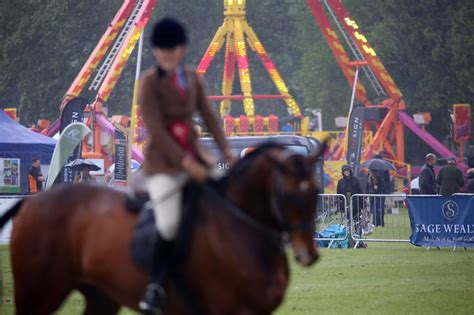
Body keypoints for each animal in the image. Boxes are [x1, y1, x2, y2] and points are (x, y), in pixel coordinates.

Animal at [0, 143, 324, 315]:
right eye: (286, 195)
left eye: (316, 191)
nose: (308, 255)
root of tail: (32, 202)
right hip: (37, 293)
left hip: (101, 297)